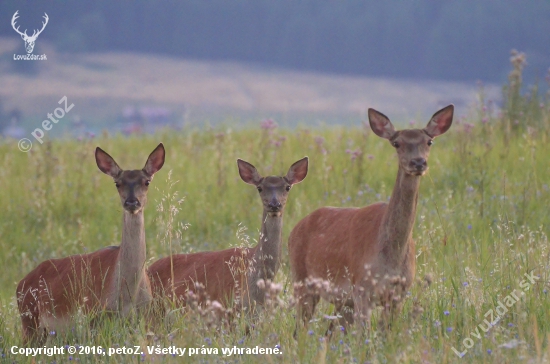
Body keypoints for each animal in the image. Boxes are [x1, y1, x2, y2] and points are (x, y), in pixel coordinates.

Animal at [16, 143, 165, 344]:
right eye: (117, 183)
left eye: (146, 181)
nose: (132, 202)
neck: (128, 295)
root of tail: (20, 284)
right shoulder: (94, 318)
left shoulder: (146, 318)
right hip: (29, 322)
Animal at [288, 105, 452, 332]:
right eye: (396, 143)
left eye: (429, 141)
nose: (418, 162)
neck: (391, 257)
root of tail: (294, 229)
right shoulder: (361, 288)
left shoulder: (400, 292)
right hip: (302, 280)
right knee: (299, 329)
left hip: (342, 301)